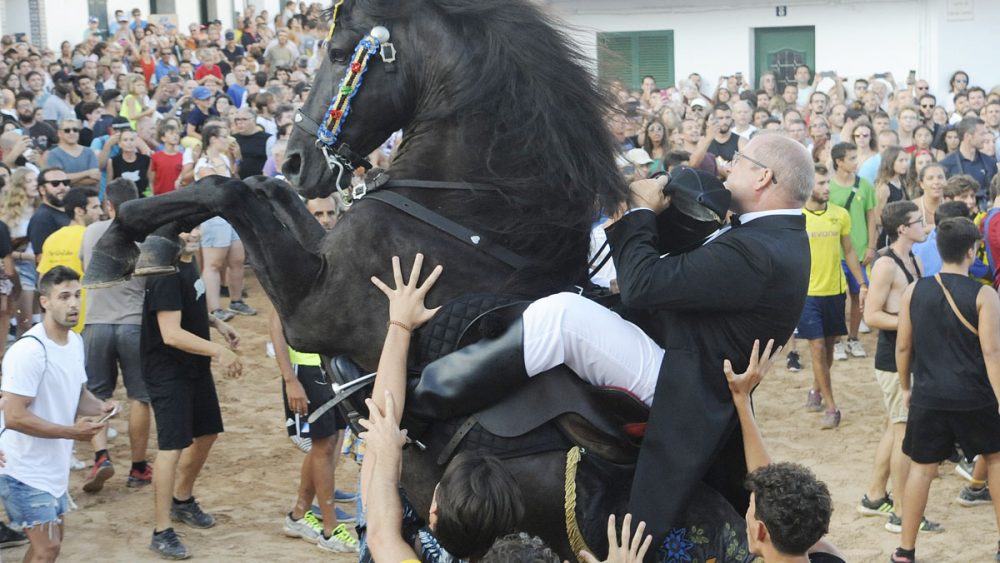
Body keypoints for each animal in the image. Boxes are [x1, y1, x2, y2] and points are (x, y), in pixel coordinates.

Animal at [86, 2, 752, 560]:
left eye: (337, 54)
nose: (298, 158)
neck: (468, 217)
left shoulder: (311, 307)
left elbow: (228, 188)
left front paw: (121, 240)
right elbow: (256, 186)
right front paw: (141, 241)